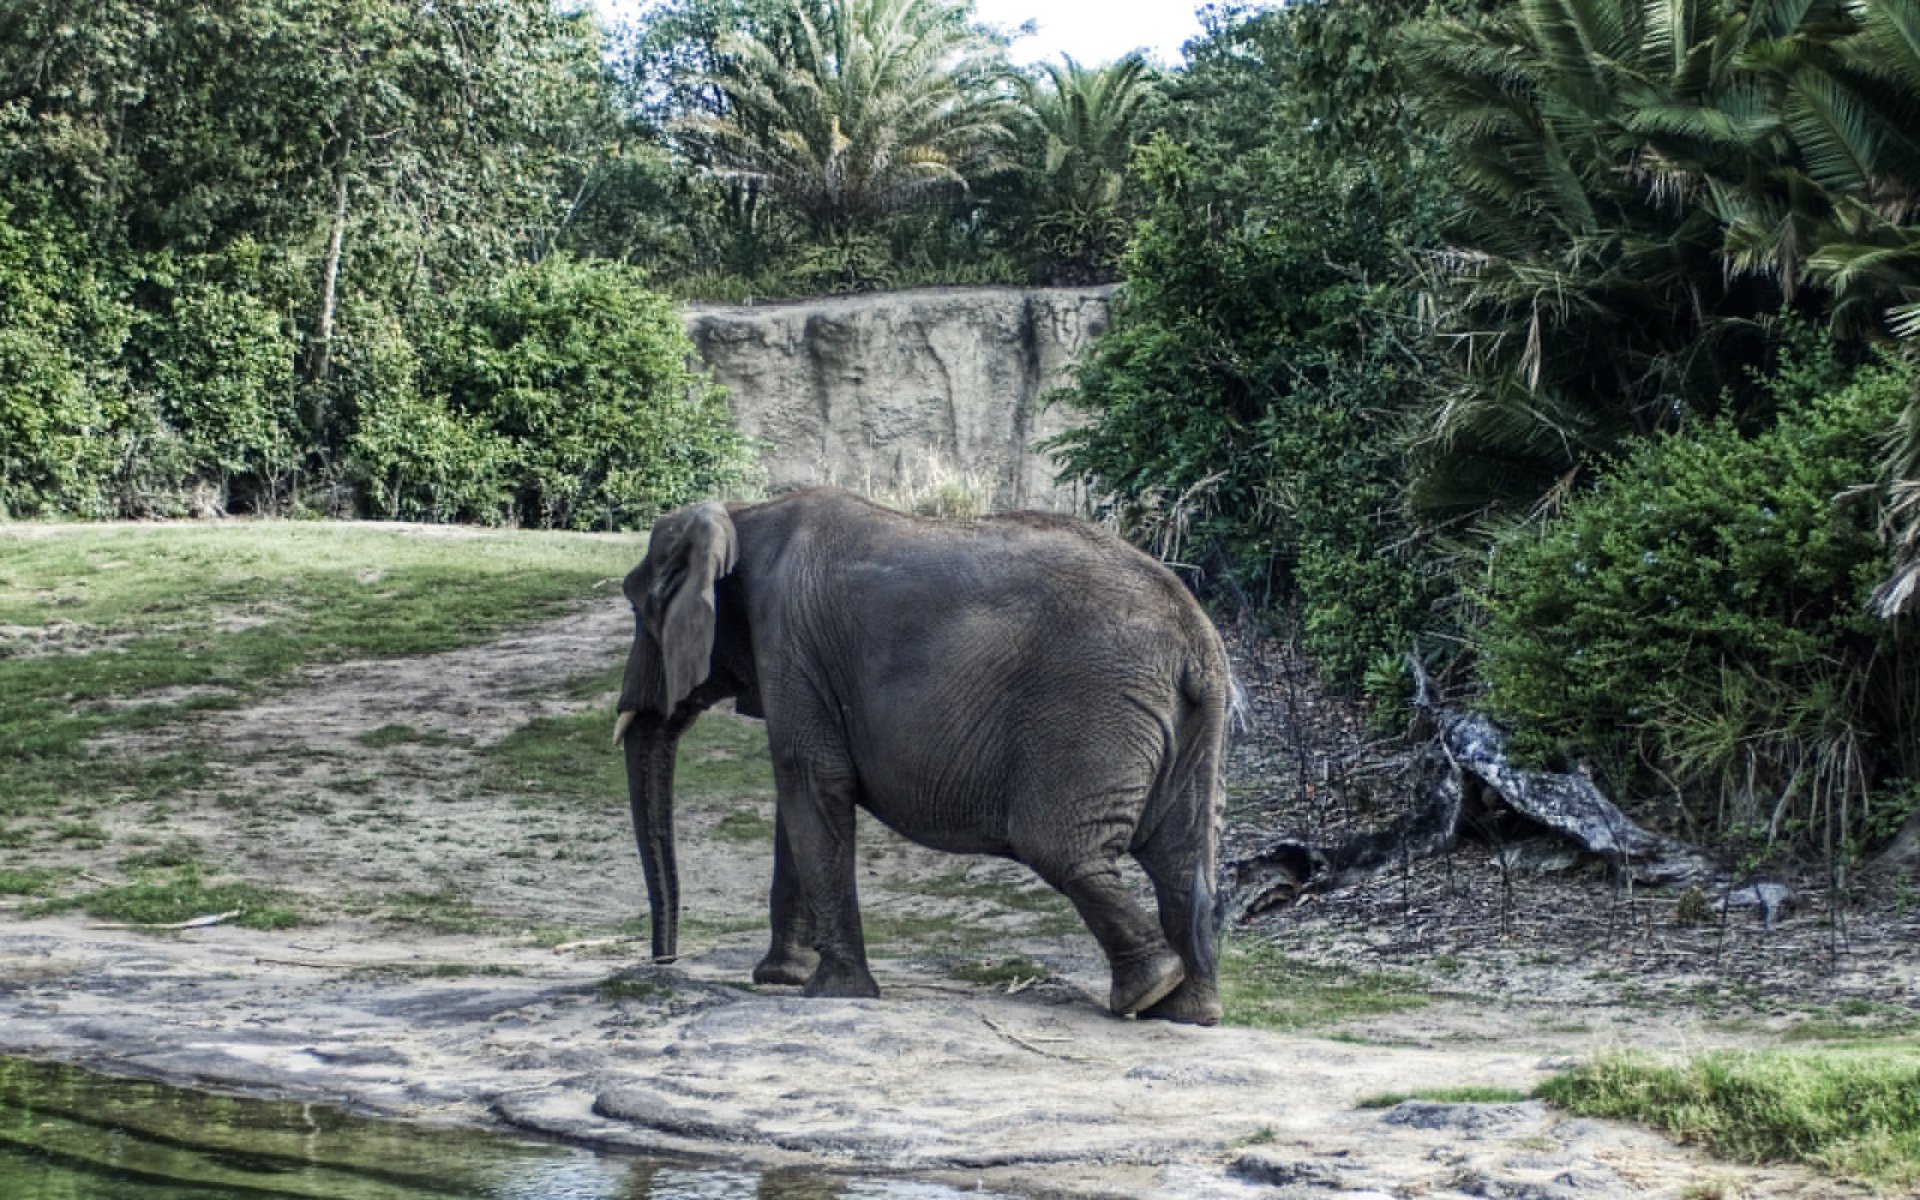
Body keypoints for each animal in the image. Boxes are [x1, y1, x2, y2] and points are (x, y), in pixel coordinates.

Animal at [610, 487, 1231, 1024]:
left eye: (640, 609)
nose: (664, 960)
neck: (742, 514)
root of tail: (1197, 638)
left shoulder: (788, 639)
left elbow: (811, 782)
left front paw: (829, 993)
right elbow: (800, 797)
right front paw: (784, 979)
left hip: (1092, 712)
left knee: (1062, 849)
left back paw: (1148, 990)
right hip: (1187, 725)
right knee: (1181, 860)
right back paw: (1186, 1011)